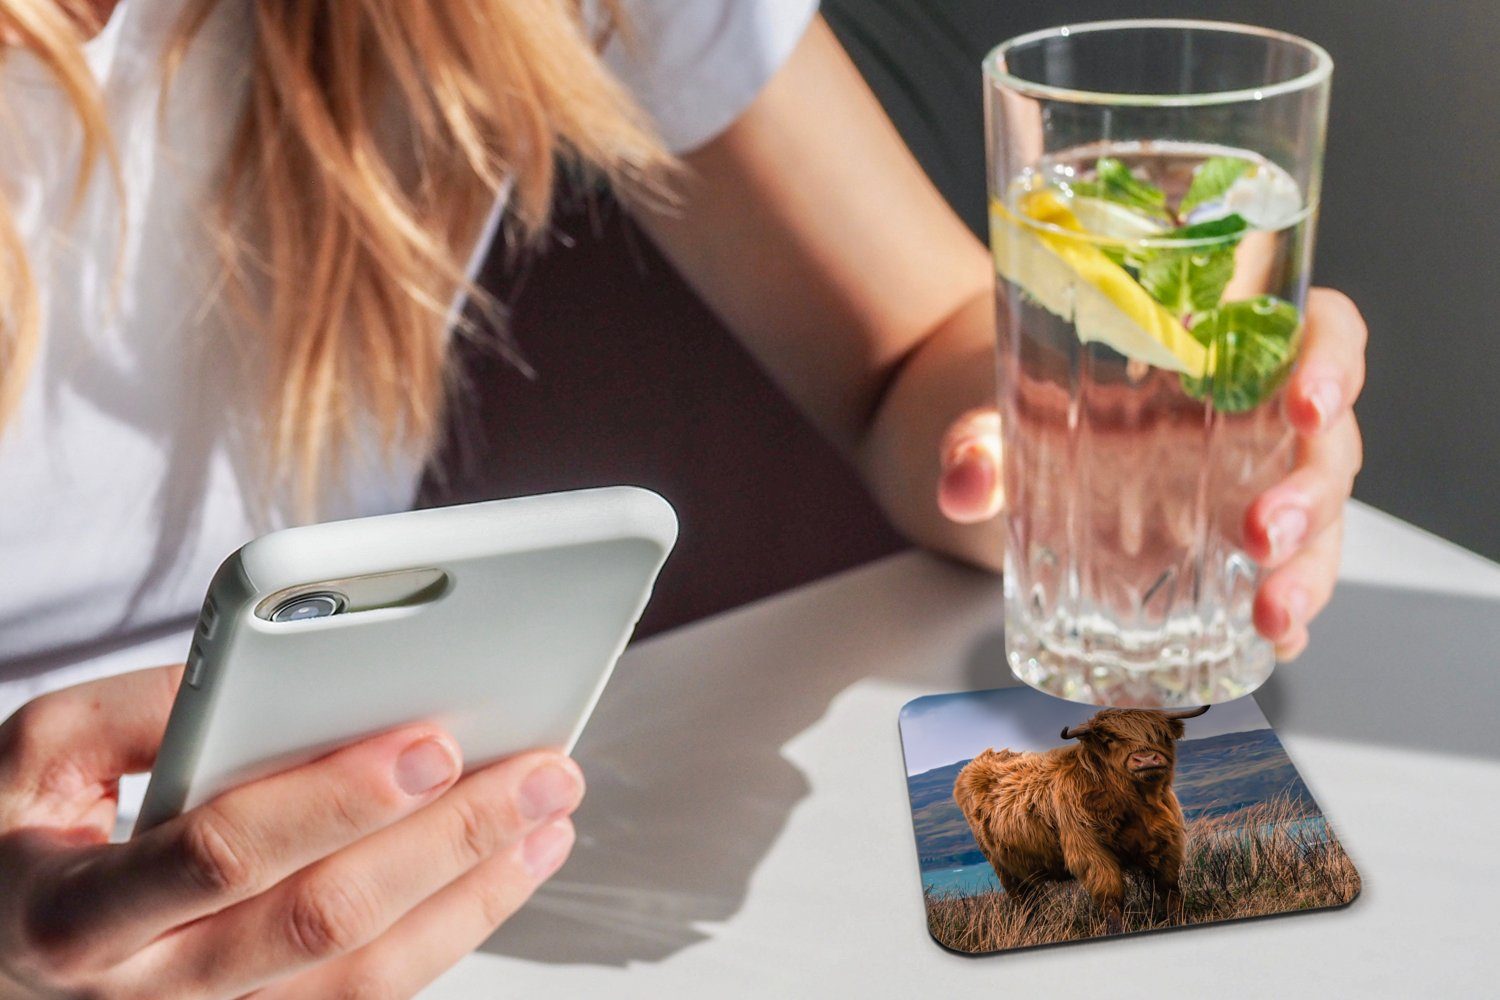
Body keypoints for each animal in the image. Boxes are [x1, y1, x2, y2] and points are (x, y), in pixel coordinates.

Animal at [954, 704, 1212, 929]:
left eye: (1160, 734)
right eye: (1110, 739)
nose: (1146, 759)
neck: (1135, 804)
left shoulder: (1168, 843)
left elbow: (1169, 889)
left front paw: (1178, 919)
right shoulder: (1090, 851)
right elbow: (1110, 895)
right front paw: (1117, 929)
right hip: (1004, 867)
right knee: (1024, 901)